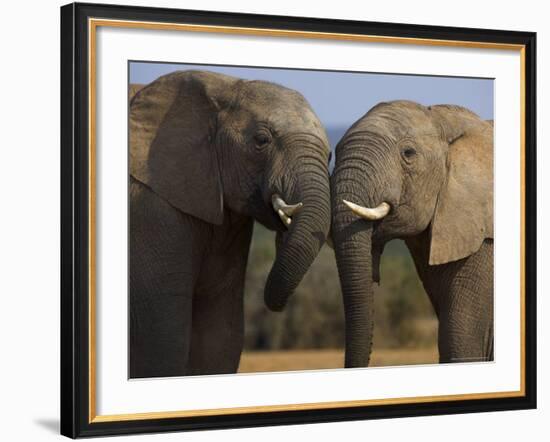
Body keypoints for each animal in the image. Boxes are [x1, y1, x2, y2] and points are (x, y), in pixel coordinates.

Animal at [129, 71, 332, 378]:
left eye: (330, 155)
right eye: (261, 140)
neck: (223, 86)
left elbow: (220, 333)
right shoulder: (151, 208)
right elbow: (163, 336)